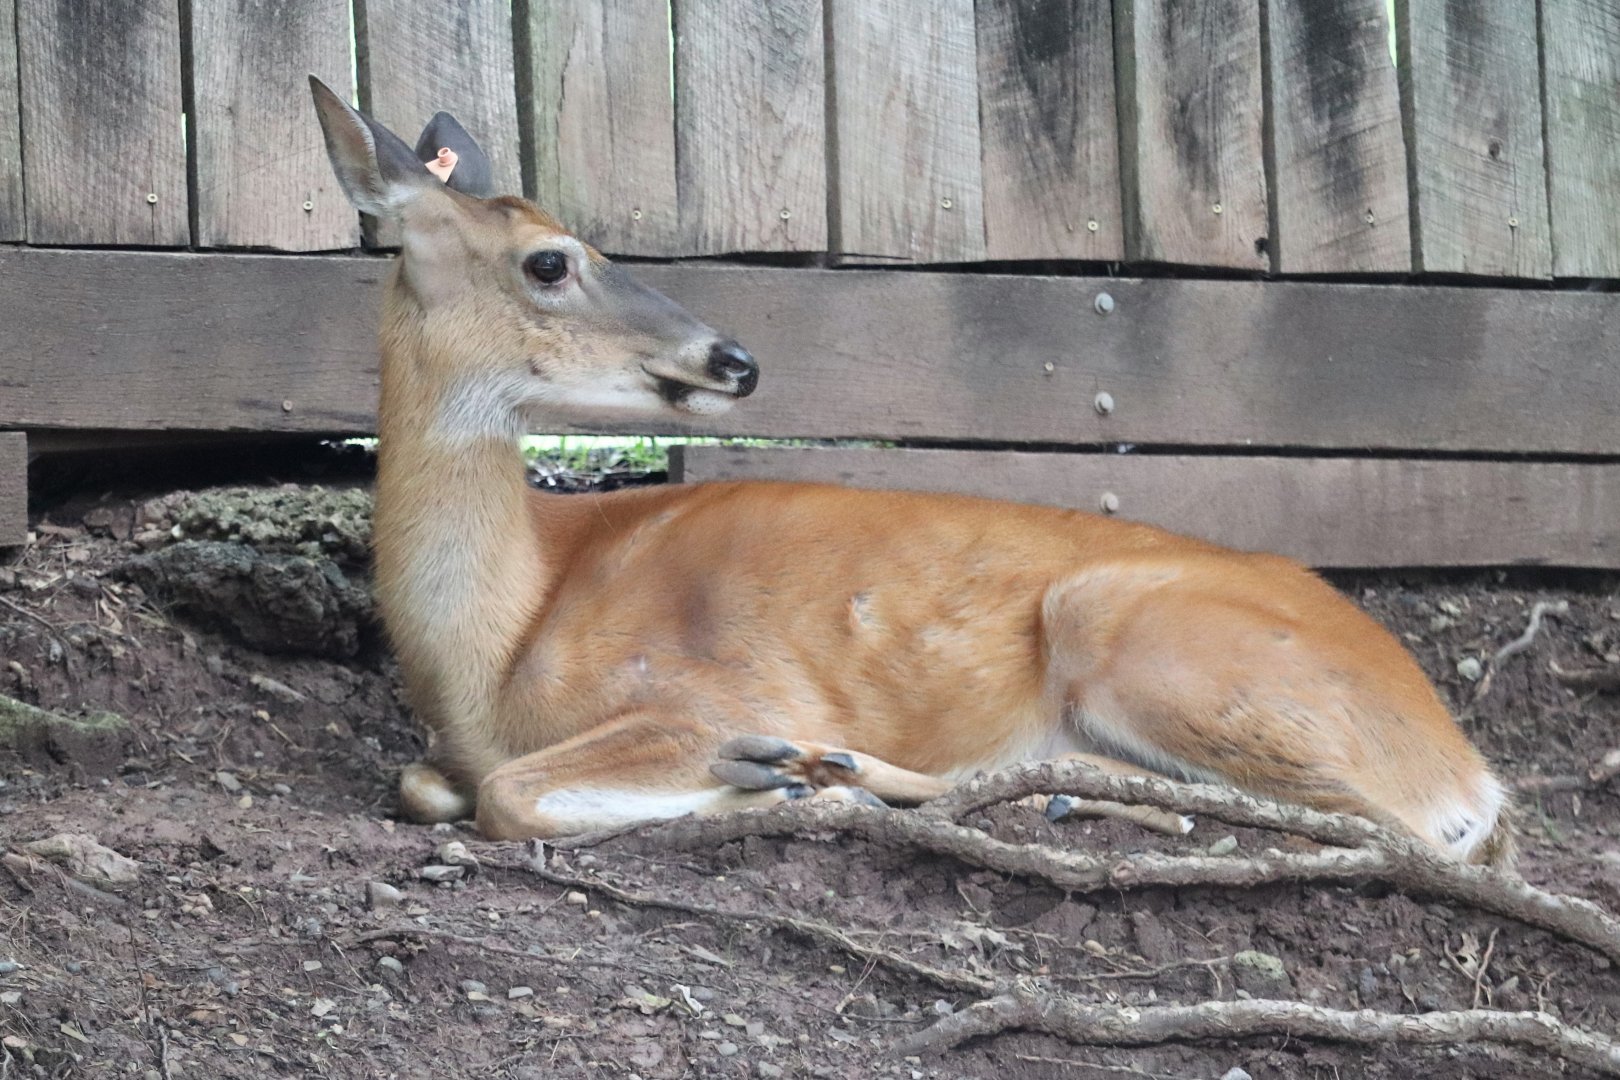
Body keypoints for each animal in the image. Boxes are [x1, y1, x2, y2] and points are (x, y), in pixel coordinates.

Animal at [308, 77, 1512, 866]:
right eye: (549, 262)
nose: (735, 358)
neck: (497, 645)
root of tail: (1466, 765)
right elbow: (431, 784)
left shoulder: (707, 689)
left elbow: (509, 794)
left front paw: (763, 775)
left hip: (1143, 637)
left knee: (1373, 828)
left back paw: (831, 772)